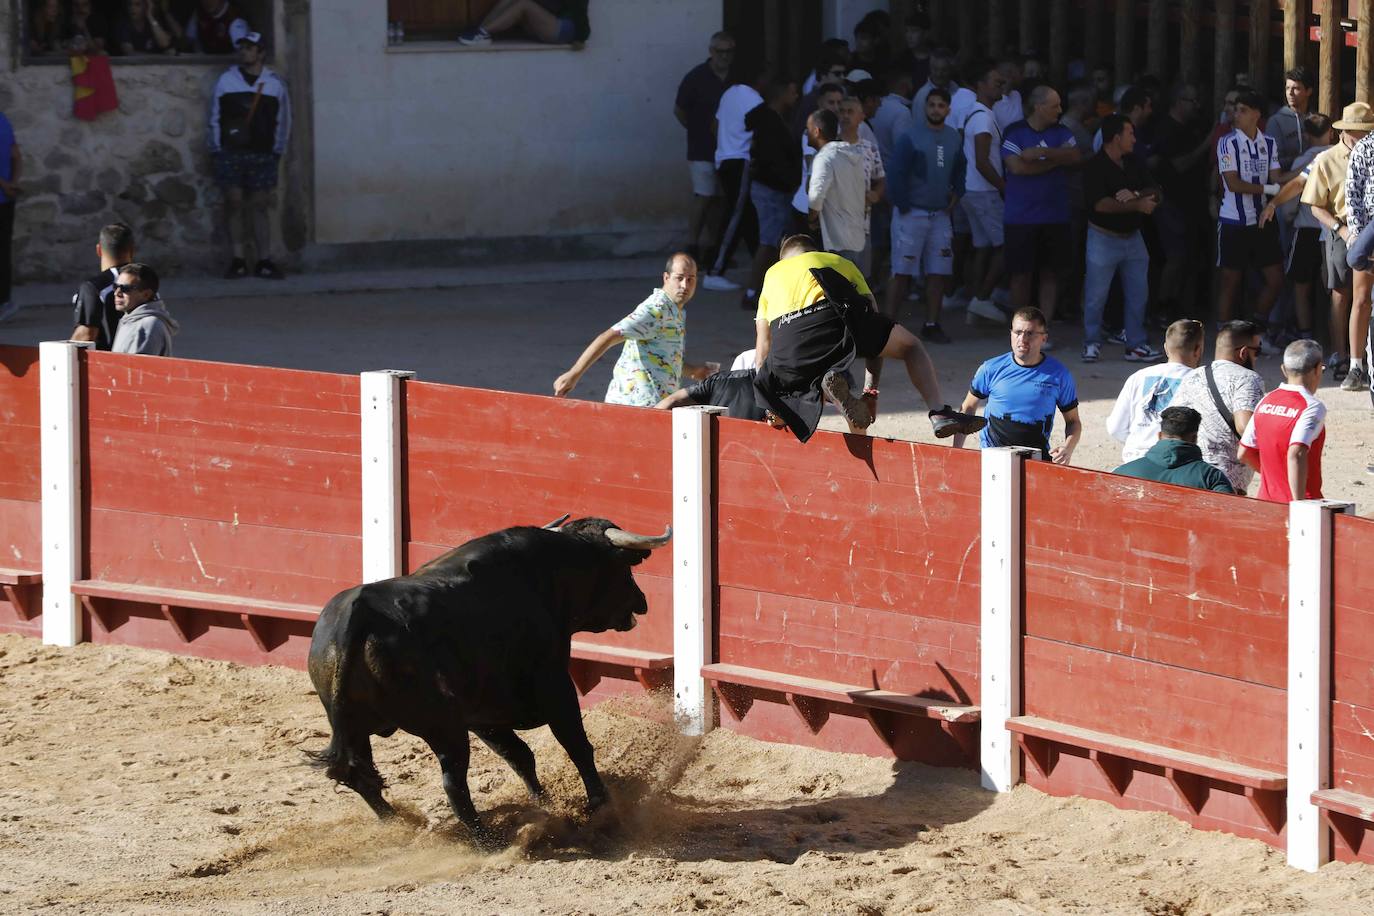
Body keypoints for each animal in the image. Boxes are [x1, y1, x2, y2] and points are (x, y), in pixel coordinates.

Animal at [311, 516, 676, 845]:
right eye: (622, 567)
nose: (642, 601)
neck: (546, 574)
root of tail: (358, 615)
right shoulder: (555, 686)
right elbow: (576, 745)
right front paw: (601, 806)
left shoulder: (482, 717)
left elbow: (520, 755)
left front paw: (546, 804)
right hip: (443, 727)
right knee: (452, 782)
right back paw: (488, 840)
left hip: (358, 727)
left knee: (359, 774)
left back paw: (399, 825)